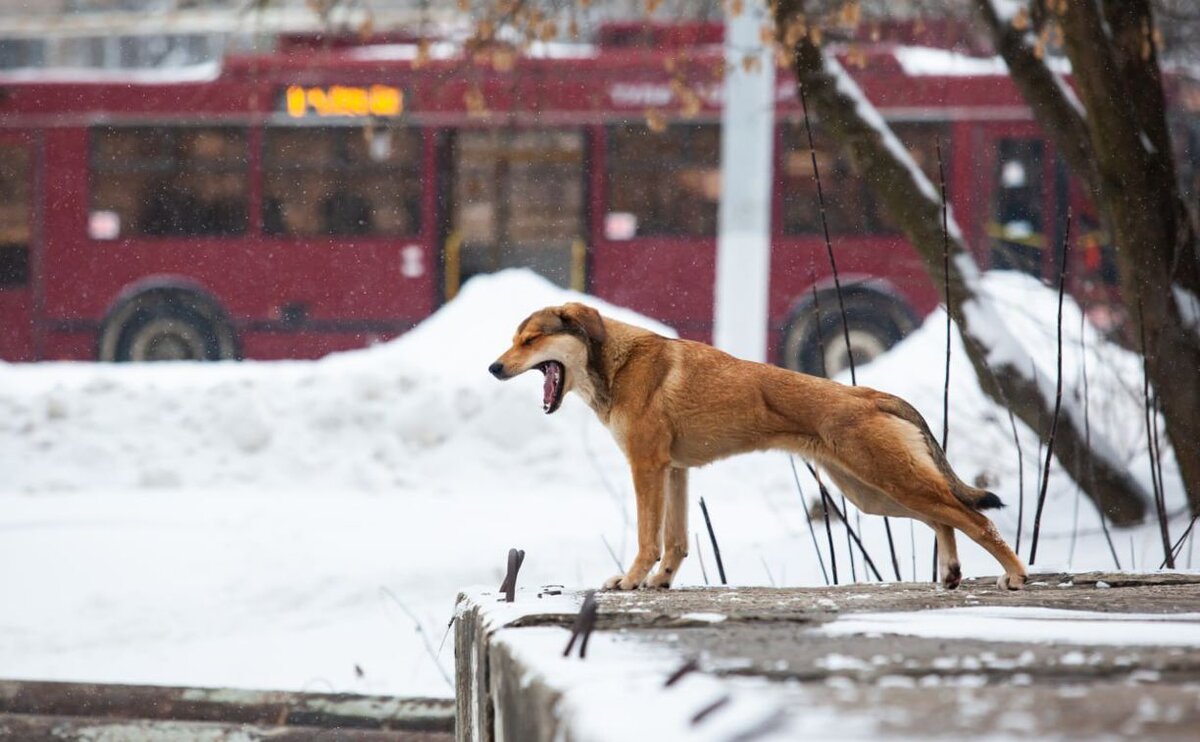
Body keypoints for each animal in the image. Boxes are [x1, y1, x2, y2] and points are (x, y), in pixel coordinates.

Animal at [492, 300, 1027, 588]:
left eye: (531, 340)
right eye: (514, 339)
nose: (494, 368)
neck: (614, 362)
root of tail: (874, 396)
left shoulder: (646, 467)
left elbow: (648, 538)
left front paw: (630, 581)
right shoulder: (675, 471)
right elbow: (676, 541)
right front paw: (660, 583)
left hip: (886, 482)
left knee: (974, 518)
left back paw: (1017, 574)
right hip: (872, 494)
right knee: (945, 517)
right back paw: (952, 573)